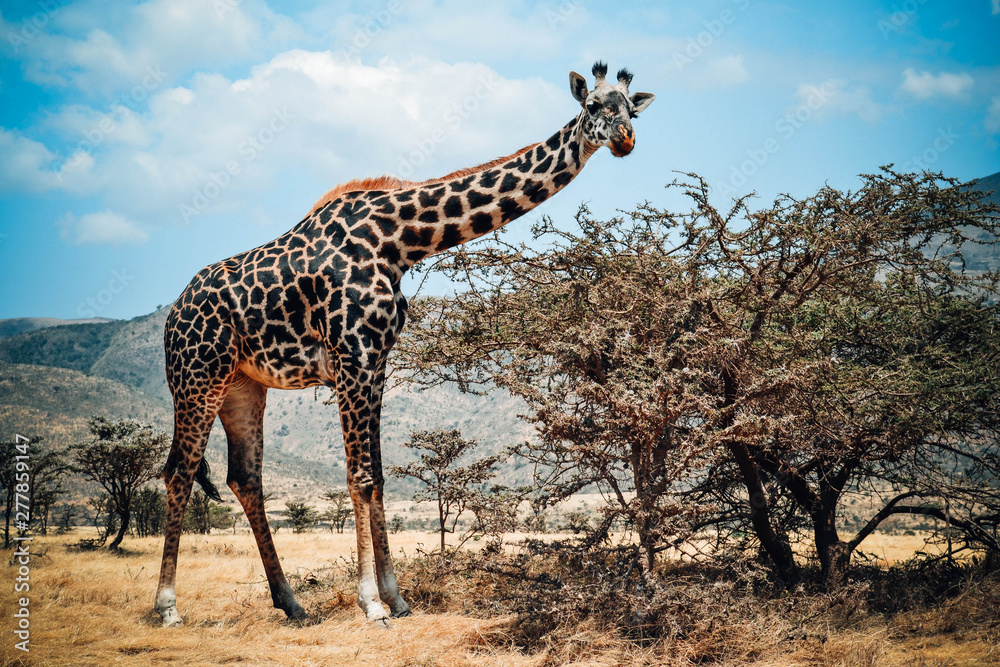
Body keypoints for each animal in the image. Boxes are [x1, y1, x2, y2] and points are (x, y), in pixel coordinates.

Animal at [154, 61, 654, 627]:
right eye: (593, 106)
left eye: (632, 110)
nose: (625, 139)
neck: (400, 241)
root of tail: (173, 314)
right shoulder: (352, 356)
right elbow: (359, 477)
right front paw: (371, 602)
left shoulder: (376, 362)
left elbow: (377, 477)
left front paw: (396, 597)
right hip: (197, 377)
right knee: (179, 470)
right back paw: (168, 607)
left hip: (243, 384)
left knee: (245, 478)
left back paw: (292, 603)